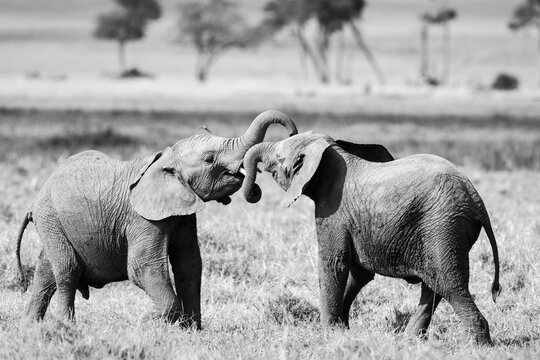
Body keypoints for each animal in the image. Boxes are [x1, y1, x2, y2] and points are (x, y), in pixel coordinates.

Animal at [14, 109, 298, 326]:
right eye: (209, 159)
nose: (292, 134)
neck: (164, 160)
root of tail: (35, 201)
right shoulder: (142, 219)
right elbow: (143, 266)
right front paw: (148, 322)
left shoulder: (183, 215)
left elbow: (189, 265)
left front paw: (190, 330)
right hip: (51, 218)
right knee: (66, 269)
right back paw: (65, 326)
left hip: (54, 222)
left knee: (45, 271)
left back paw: (30, 327)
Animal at [243, 131, 500, 344]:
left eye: (277, 158)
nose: (255, 189)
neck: (332, 153)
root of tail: (476, 199)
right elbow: (360, 273)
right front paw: (342, 330)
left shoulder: (333, 212)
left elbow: (334, 264)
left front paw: (328, 334)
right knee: (434, 285)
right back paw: (411, 340)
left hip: (443, 226)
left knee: (449, 284)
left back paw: (476, 345)